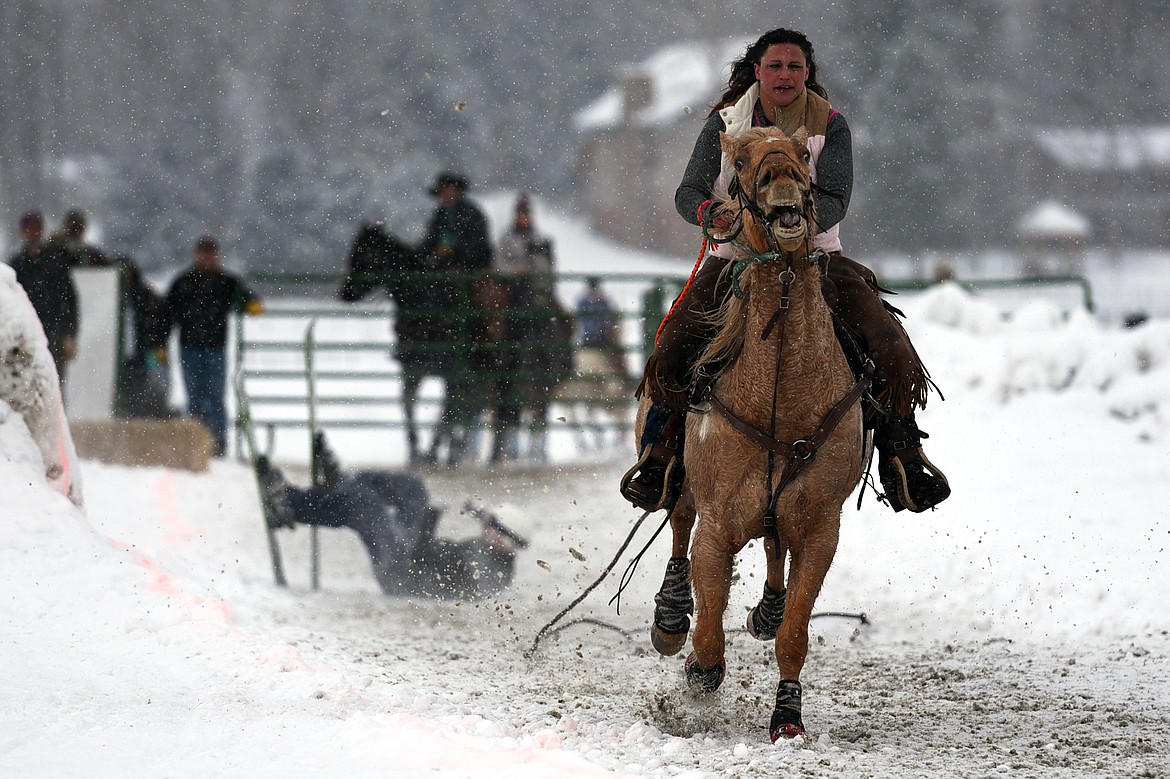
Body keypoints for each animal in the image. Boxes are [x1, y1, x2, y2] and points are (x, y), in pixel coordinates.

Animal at [641, 127, 870, 739]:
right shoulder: (718, 525)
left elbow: (794, 633)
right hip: (683, 482)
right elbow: (708, 624)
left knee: (772, 549)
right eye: (739, 161)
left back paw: (765, 610)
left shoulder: (821, 529)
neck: (780, 400)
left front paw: (787, 715)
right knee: (678, 521)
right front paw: (699, 668)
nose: (782, 181)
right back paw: (670, 616)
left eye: (800, 152)